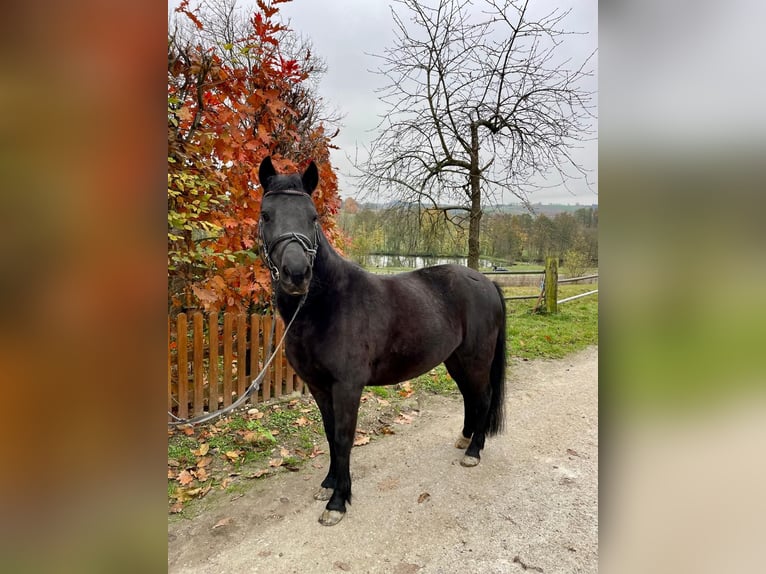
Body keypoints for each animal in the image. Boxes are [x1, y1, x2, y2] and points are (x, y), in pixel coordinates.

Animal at [257, 156, 507, 526]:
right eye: (266, 215)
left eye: (312, 217)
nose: (297, 274)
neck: (325, 304)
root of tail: (487, 282)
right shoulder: (319, 387)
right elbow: (330, 434)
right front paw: (328, 484)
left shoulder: (347, 386)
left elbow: (344, 437)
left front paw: (338, 501)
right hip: (456, 360)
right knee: (470, 397)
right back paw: (464, 440)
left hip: (476, 359)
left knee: (484, 396)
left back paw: (474, 450)